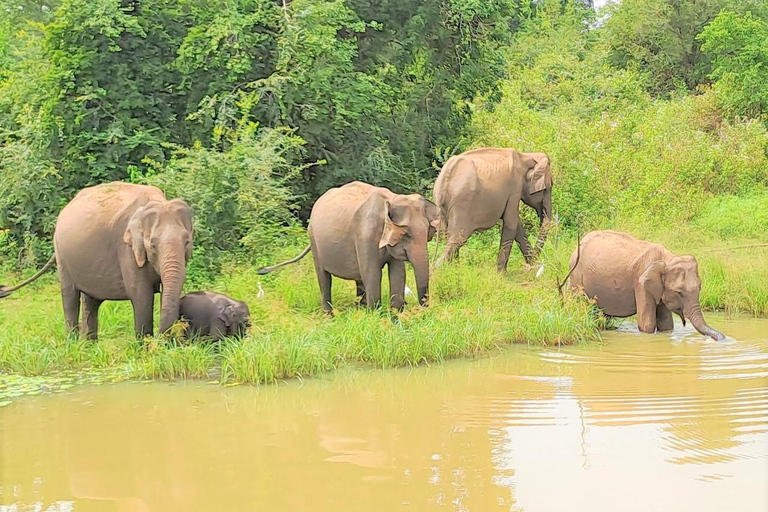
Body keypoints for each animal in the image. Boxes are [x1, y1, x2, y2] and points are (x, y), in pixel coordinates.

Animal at [0, 182, 192, 338]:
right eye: (152, 245)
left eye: (187, 242)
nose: (162, 338)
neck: (158, 201)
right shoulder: (126, 249)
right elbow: (140, 294)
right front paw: (145, 347)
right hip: (62, 256)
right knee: (70, 296)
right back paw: (73, 344)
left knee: (91, 302)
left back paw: (88, 345)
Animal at [256, 182, 438, 314]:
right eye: (406, 234)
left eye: (426, 233)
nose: (423, 312)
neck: (391, 199)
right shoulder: (365, 236)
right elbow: (372, 274)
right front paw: (376, 316)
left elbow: (398, 273)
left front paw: (396, 316)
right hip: (315, 241)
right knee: (324, 278)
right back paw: (329, 315)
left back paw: (360, 308)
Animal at [568, 231, 728, 342]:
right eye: (678, 292)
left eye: (700, 288)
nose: (723, 338)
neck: (667, 258)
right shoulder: (641, 284)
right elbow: (647, 325)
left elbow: (666, 324)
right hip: (576, 276)